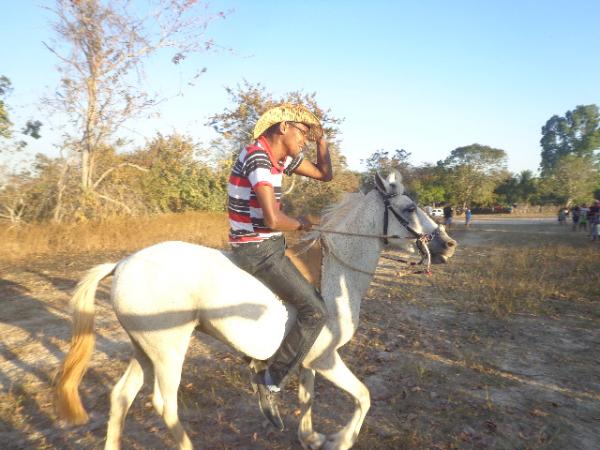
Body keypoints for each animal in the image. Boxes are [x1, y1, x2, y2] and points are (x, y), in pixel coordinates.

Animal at [54, 171, 454, 448]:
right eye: (409, 209)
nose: (448, 244)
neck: (336, 271)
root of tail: (122, 264)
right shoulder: (326, 358)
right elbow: (363, 396)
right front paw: (340, 440)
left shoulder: (309, 359)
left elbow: (308, 397)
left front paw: (309, 437)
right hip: (168, 350)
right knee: (165, 406)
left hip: (144, 349)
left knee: (121, 396)